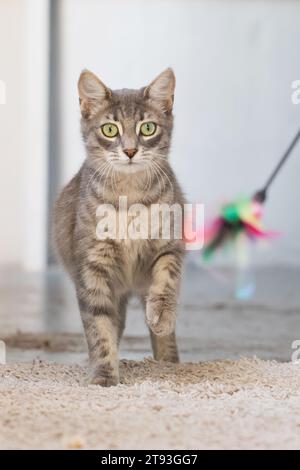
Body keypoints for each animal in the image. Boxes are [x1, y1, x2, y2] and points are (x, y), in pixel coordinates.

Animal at [54, 69, 185, 386]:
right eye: (110, 130)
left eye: (147, 128)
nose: (130, 150)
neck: (129, 196)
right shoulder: (92, 266)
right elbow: (99, 327)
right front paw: (103, 375)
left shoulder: (170, 245)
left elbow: (166, 280)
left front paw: (161, 313)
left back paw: (168, 362)